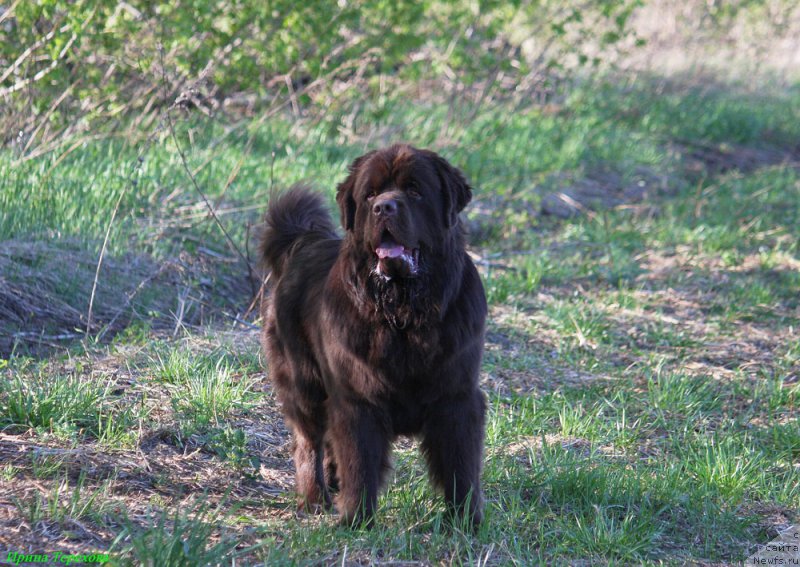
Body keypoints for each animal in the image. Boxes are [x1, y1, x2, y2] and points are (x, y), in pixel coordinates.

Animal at [260, 143, 488, 528]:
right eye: (369, 195)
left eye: (414, 190)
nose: (384, 207)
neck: (404, 314)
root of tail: (305, 243)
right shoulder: (357, 400)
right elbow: (360, 461)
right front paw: (357, 520)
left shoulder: (457, 396)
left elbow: (461, 465)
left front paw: (466, 521)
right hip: (302, 381)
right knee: (308, 441)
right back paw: (314, 499)